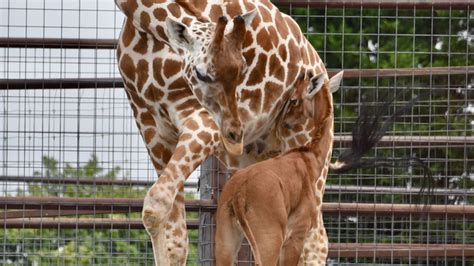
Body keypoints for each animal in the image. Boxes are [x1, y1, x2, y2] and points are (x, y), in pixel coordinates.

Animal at [216, 71, 344, 266]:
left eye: (294, 99)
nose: (284, 122)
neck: (309, 158)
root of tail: (238, 195)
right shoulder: (297, 233)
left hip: (226, 240)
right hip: (270, 239)